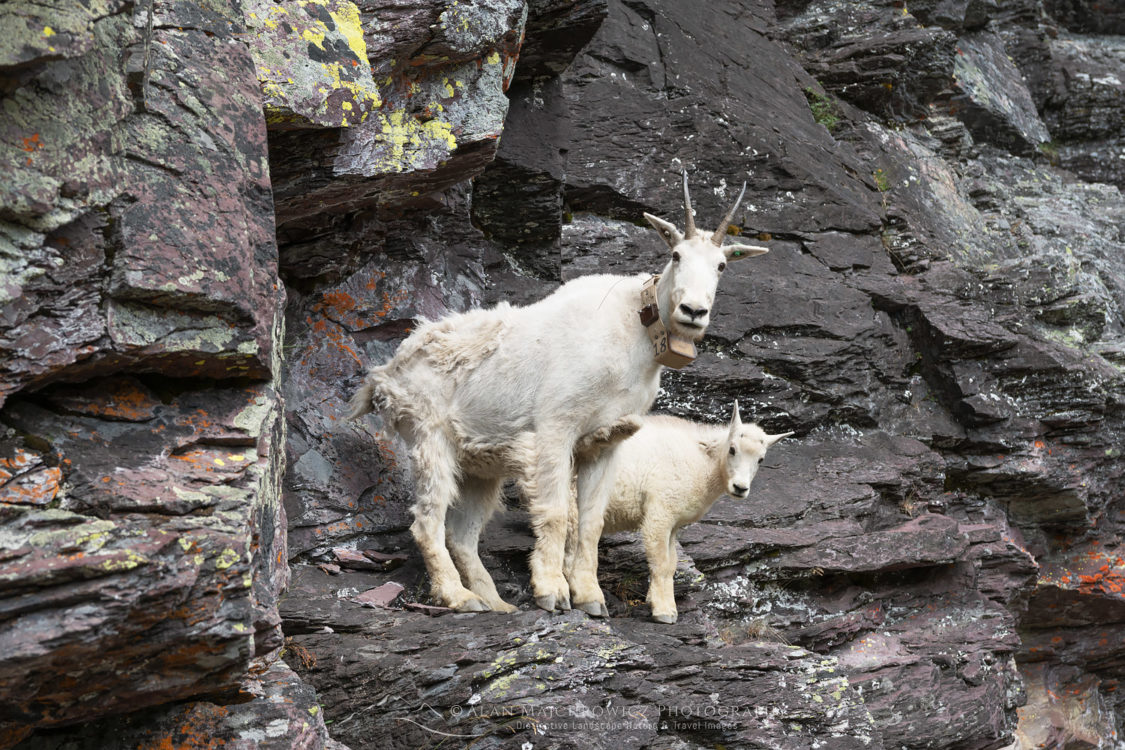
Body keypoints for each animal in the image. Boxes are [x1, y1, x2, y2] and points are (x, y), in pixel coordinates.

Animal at [348, 173, 769, 614]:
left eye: (721, 265)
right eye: (675, 254)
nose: (693, 311)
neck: (632, 337)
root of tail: (385, 374)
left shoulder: (606, 442)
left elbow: (591, 520)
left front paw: (590, 597)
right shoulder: (554, 428)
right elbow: (554, 512)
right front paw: (552, 591)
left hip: (480, 466)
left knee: (462, 534)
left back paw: (495, 603)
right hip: (429, 438)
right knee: (427, 521)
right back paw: (458, 597)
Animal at [570, 402, 792, 623]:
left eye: (761, 459)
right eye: (732, 449)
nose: (740, 488)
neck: (703, 462)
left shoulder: (674, 523)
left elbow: (672, 564)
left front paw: (663, 603)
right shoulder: (660, 512)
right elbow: (660, 562)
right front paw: (663, 612)